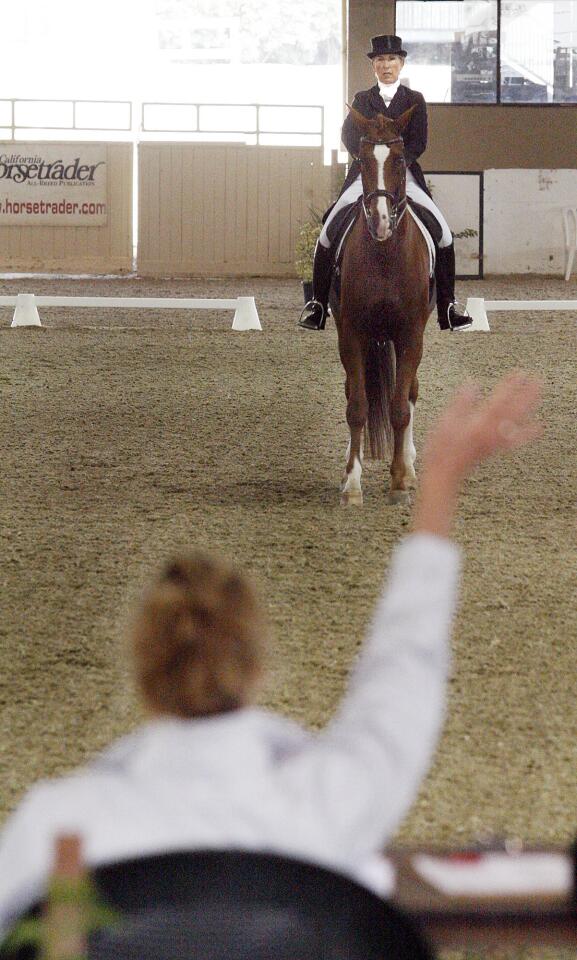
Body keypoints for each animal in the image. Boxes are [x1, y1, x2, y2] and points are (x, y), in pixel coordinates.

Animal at [330, 106, 430, 506]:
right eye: (362, 159)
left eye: (400, 159)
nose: (381, 221)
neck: (385, 254)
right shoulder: (351, 334)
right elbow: (357, 407)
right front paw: (352, 484)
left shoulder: (410, 335)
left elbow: (400, 408)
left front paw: (399, 481)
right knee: (352, 392)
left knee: (411, 393)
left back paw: (411, 466)